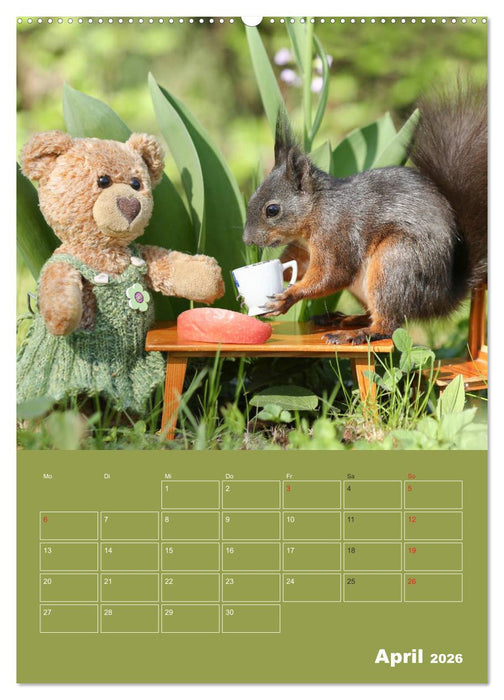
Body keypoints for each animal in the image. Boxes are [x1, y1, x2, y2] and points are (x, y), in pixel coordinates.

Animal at [242, 83, 487, 345]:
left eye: (272, 210)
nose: (247, 240)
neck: (317, 210)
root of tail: (440, 297)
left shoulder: (337, 233)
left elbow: (332, 274)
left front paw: (288, 296)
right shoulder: (304, 248)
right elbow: (298, 263)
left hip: (394, 264)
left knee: (388, 325)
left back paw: (355, 333)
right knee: (373, 314)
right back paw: (342, 319)